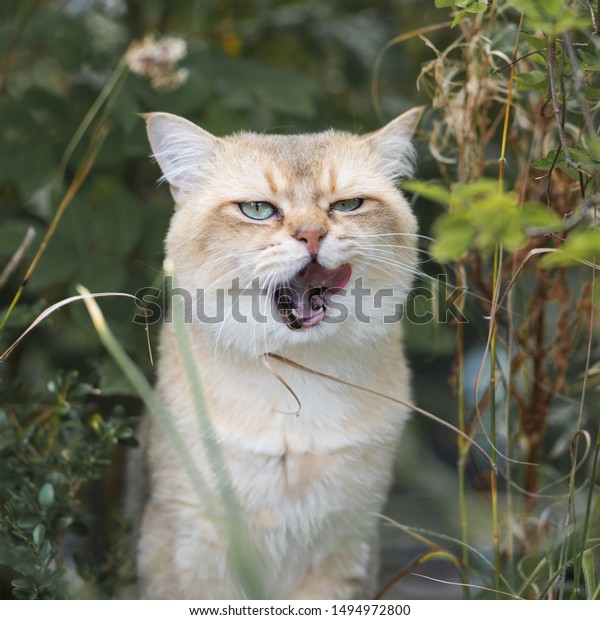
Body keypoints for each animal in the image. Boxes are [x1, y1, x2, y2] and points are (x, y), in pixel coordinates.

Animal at [131, 108, 422, 600]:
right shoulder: (194, 542)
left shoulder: (345, 543)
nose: (313, 236)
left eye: (347, 205)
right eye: (258, 210)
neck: (295, 382)